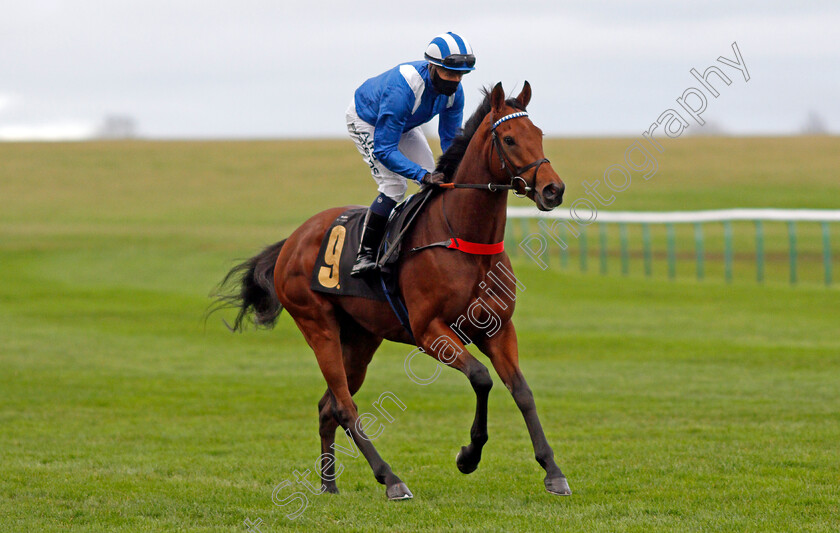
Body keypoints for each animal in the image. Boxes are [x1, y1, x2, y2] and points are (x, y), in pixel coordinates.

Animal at [215, 81, 572, 496]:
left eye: (540, 134)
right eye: (510, 138)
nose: (553, 190)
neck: (463, 238)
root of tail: (293, 239)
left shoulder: (498, 328)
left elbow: (522, 392)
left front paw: (553, 471)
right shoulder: (430, 331)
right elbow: (481, 378)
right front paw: (468, 456)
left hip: (360, 339)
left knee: (327, 407)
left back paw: (329, 486)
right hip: (319, 327)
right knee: (344, 407)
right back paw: (390, 478)